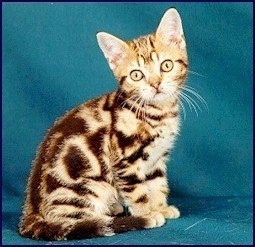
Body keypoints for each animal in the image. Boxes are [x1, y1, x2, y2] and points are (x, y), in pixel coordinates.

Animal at [18, 8, 188, 241]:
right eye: (137, 75)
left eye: (166, 65)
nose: (156, 84)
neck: (156, 113)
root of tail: (30, 210)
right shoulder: (125, 161)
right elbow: (138, 192)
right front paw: (148, 213)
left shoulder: (156, 159)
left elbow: (157, 184)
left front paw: (161, 207)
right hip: (89, 186)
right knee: (72, 221)